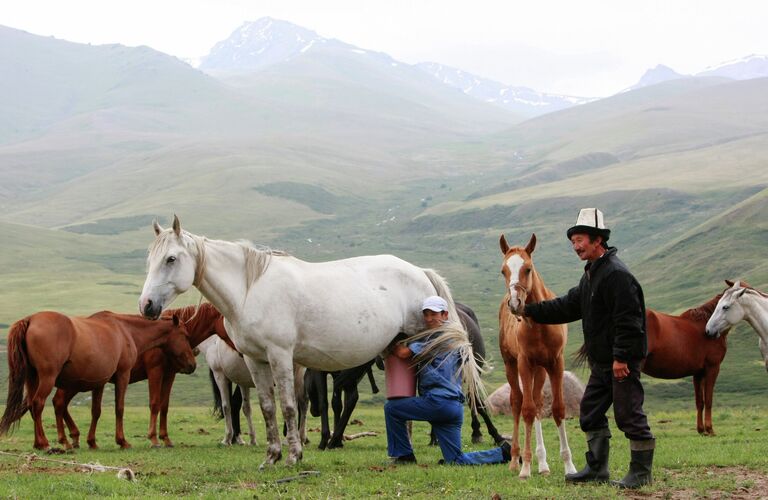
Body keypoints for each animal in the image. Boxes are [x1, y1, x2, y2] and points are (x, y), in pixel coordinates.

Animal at [0, 308, 195, 450]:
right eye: (185, 335)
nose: (192, 364)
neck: (125, 330)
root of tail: (30, 320)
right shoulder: (123, 375)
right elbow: (119, 408)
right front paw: (122, 441)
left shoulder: (99, 382)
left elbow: (96, 411)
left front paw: (92, 442)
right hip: (47, 378)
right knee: (38, 404)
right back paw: (46, 443)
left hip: (33, 378)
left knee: (34, 406)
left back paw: (40, 443)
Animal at [139, 217, 468, 466]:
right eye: (149, 259)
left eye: (171, 259)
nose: (147, 305)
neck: (250, 289)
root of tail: (419, 271)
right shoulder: (255, 360)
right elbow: (267, 408)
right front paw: (271, 456)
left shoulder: (281, 356)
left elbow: (288, 406)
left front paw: (293, 456)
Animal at [498, 232, 576, 478]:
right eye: (503, 270)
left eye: (528, 268)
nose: (515, 303)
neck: (541, 325)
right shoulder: (524, 363)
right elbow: (527, 410)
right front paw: (525, 467)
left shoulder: (556, 363)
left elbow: (558, 409)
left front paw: (569, 466)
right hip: (511, 364)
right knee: (517, 402)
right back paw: (516, 459)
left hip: (540, 369)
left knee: (538, 401)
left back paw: (542, 463)